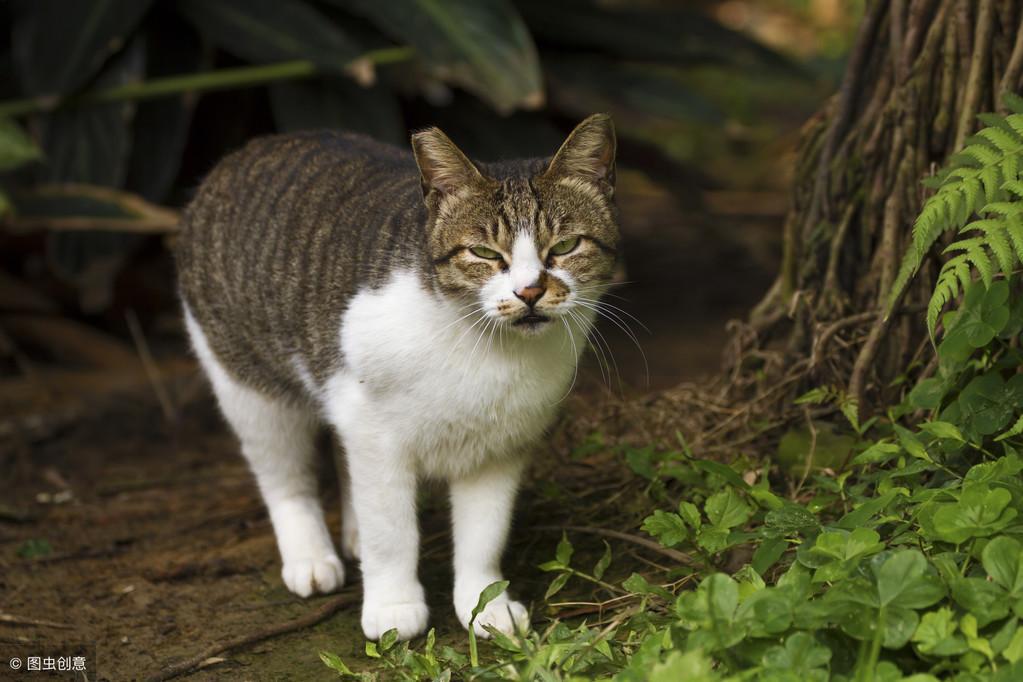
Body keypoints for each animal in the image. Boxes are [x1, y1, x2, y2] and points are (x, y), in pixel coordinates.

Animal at [174, 111, 617, 642]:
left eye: (566, 246)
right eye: (485, 254)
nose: (529, 291)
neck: (487, 348)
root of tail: (246, 150)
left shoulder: (499, 447)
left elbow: (484, 535)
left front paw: (484, 604)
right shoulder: (373, 431)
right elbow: (392, 532)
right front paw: (394, 605)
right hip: (249, 387)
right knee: (285, 478)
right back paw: (311, 556)